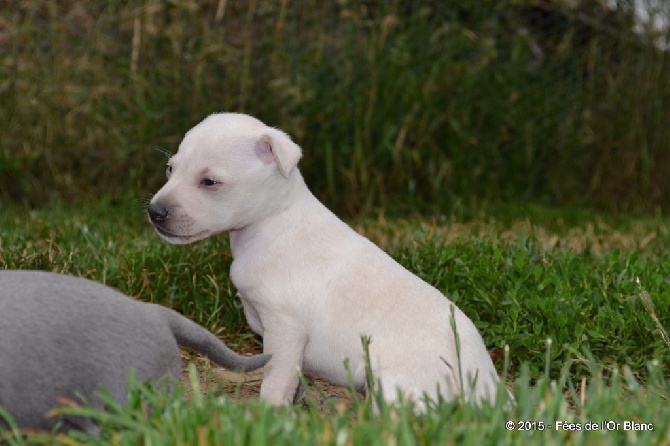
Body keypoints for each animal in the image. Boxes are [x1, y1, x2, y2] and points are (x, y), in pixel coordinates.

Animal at [148, 112, 504, 408]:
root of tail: (485, 383)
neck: (273, 223)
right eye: (169, 169)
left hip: (395, 384)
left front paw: (269, 414)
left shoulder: (286, 330)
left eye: (210, 182)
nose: (154, 212)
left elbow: (275, 381)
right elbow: (293, 381)